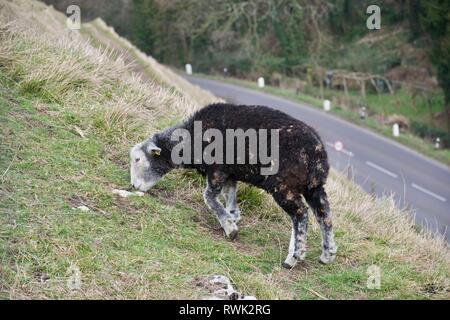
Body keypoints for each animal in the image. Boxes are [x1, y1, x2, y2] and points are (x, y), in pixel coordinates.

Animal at [128, 103, 336, 268]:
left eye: (138, 159)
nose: (133, 186)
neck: (190, 141)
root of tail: (318, 156)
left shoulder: (217, 169)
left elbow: (209, 197)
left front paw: (230, 228)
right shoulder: (229, 174)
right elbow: (230, 196)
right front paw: (232, 217)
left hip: (283, 185)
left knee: (301, 214)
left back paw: (295, 256)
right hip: (313, 188)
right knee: (324, 215)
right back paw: (327, 253)